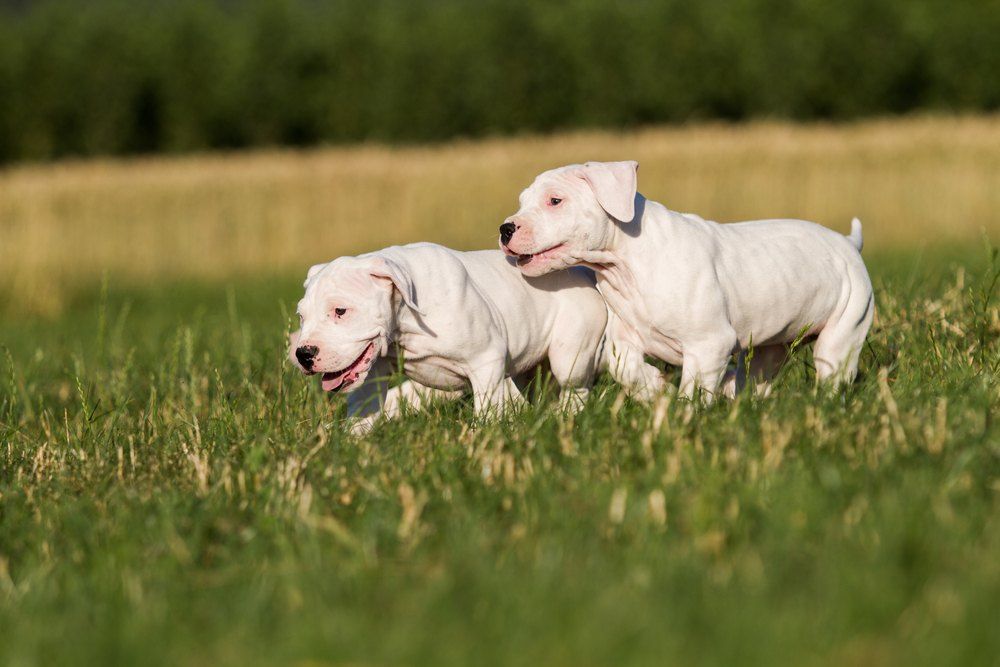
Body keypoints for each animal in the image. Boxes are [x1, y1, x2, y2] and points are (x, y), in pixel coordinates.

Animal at [286, 241, 604, 434]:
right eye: (302, 317)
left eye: (340, 311)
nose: (303, 354)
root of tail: (581, 272)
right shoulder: (372, 376)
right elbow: (364, 409)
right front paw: (349, 441)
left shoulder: (486, 361)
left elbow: (487, 407)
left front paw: (480, 437)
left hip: (569, 354)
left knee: (575, 388)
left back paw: (566, 419)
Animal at [500, 162, 876, 402]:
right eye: (522, 202)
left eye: (555, 201)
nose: (505, 228)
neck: (628, 263)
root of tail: (847, 243)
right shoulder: (623, 337)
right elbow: (624, 367)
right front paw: (654, 389)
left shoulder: (710, 343)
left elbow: (693, 391)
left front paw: (682, 418)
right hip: (772, 346)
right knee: (757, 377)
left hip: (846, 328)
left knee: (832, 371)